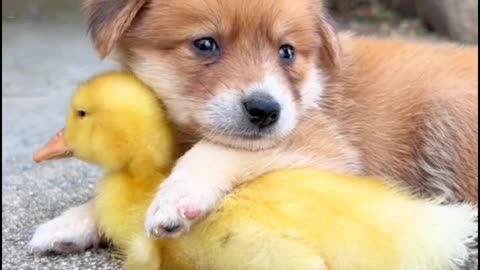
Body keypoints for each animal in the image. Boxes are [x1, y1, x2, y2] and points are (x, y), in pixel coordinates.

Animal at [29, 0, 476, 264]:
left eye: (287, 51)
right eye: (205, 43)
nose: (266, 110)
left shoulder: (321, 142)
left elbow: (216, 150)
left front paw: (177, 198)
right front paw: (71, 224)